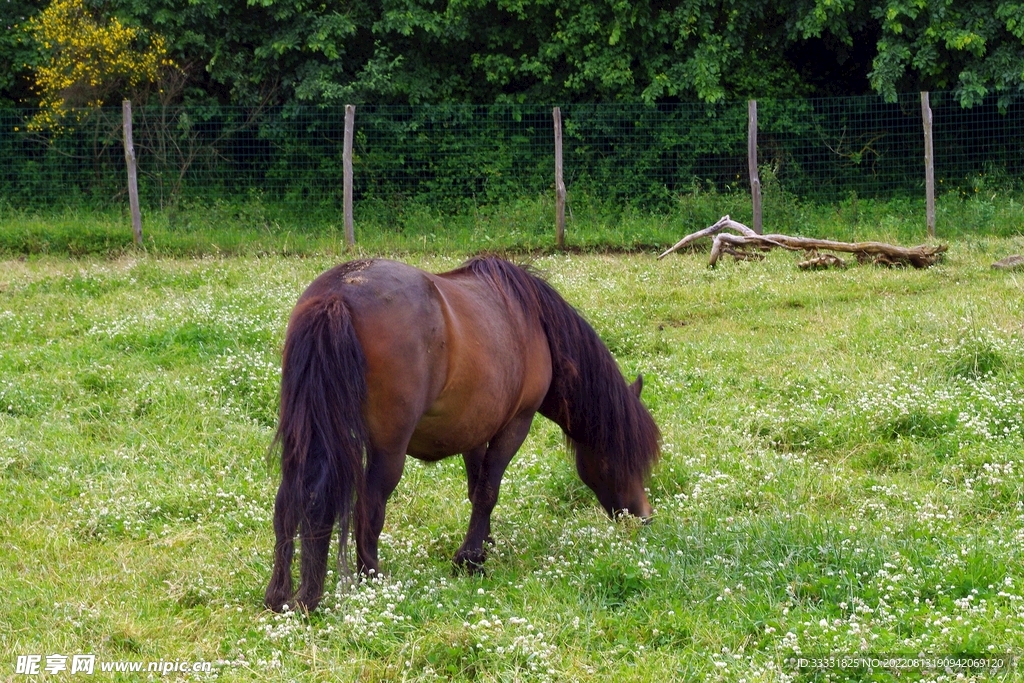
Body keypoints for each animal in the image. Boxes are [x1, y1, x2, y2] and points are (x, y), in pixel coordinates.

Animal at [264, 256, 660, 612]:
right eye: (627, 456)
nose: (645, 517)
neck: (535, 323)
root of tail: (339, 292)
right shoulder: (515, 424)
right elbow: (487, 492)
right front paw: (470, 558)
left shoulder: (476, 428)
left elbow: (476, 489)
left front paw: (483, 542)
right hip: (387, 448)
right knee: (370, 504)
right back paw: (373, 578)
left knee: (289, 499)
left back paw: (280, 595)